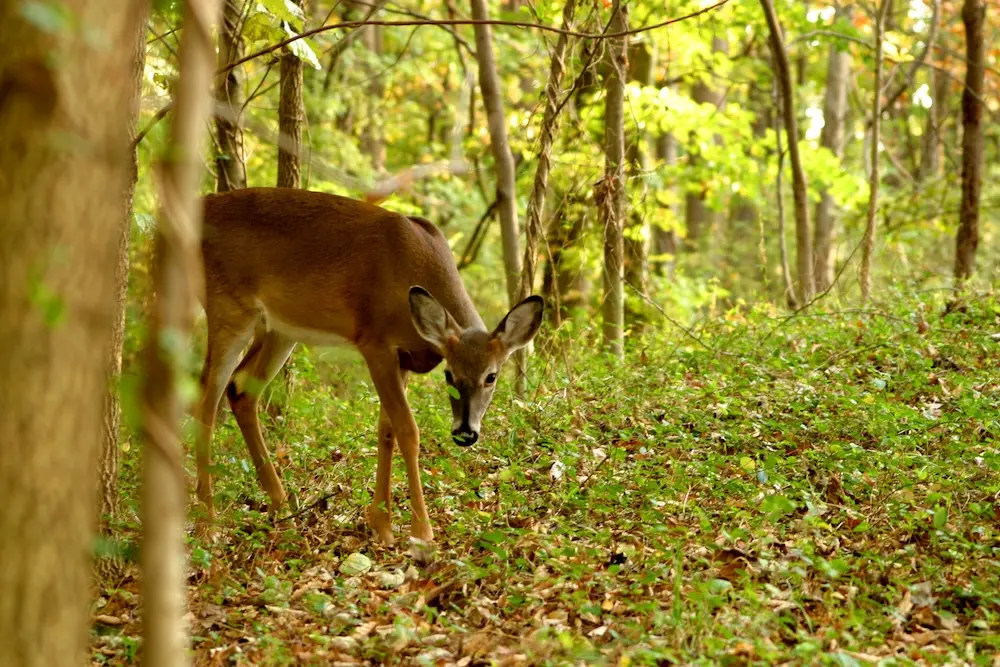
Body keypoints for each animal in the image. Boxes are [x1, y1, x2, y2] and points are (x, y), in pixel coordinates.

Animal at [195, 187, 543, 544]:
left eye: (491, 376)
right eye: (449, 374)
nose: (465, 432)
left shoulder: (404, 357)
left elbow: (386, 430)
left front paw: (382, 525)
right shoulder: (375, 342)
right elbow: (408, 430)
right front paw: (421, 531)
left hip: (278, 329)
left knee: (240, 389)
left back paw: (282, 508)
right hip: (228, 308)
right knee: (206, 398)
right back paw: (208, 524)